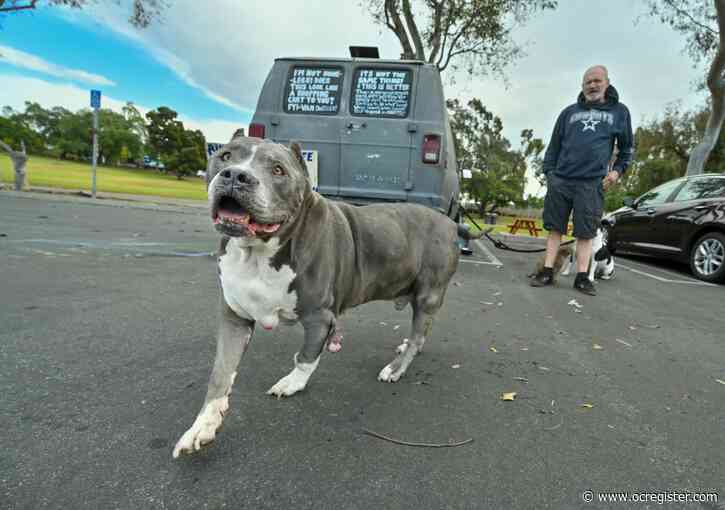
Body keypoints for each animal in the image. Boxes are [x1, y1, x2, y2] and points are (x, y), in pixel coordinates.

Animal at [173, 135, 458, 458]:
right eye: (225, 156)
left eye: (278, 170)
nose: (235, 175)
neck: (257, 253)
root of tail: (450, 223)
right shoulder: (234, 318)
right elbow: (221, 372)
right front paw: (203, 425)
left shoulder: (319, 318)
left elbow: (306, 356)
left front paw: (292, 383)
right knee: (420, 334)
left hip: (427, 295)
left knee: (419, 333)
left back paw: (396, 367)